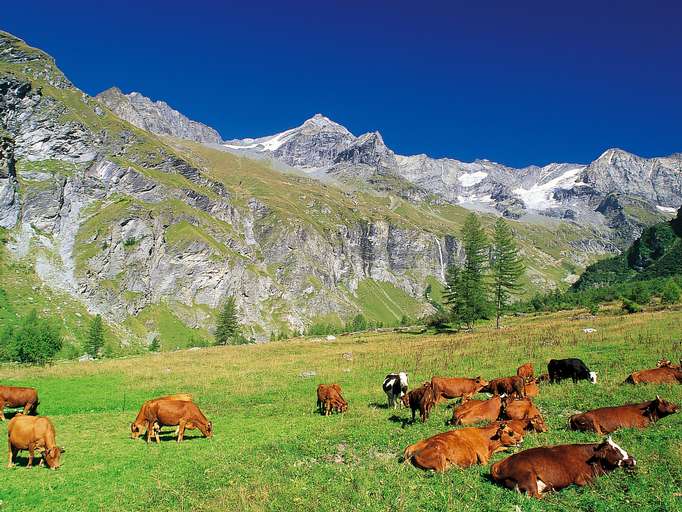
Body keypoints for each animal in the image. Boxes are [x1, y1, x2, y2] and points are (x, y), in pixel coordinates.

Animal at [492, 438, 636, 498]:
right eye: (615, 450)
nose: (633, 459)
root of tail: (501, 463)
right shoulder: (582, 479)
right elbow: (598, 486)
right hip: (528, 476)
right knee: (535, 496)